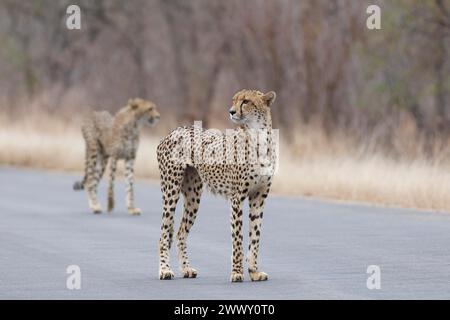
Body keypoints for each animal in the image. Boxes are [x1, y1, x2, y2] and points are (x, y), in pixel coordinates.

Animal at [158, 89, 278, 282]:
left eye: (246, 101)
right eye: (234, 100)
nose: (231, 111)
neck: (258, 136)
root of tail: (174, 130)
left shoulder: (259, 197)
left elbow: (255, 238)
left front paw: (254, 272)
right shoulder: (237, 198)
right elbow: (238, 239)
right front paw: (237, 272)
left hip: (193, 196)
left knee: (180, 233)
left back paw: (186, 269)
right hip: (171, 190)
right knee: (163, 234)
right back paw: (165, 270)